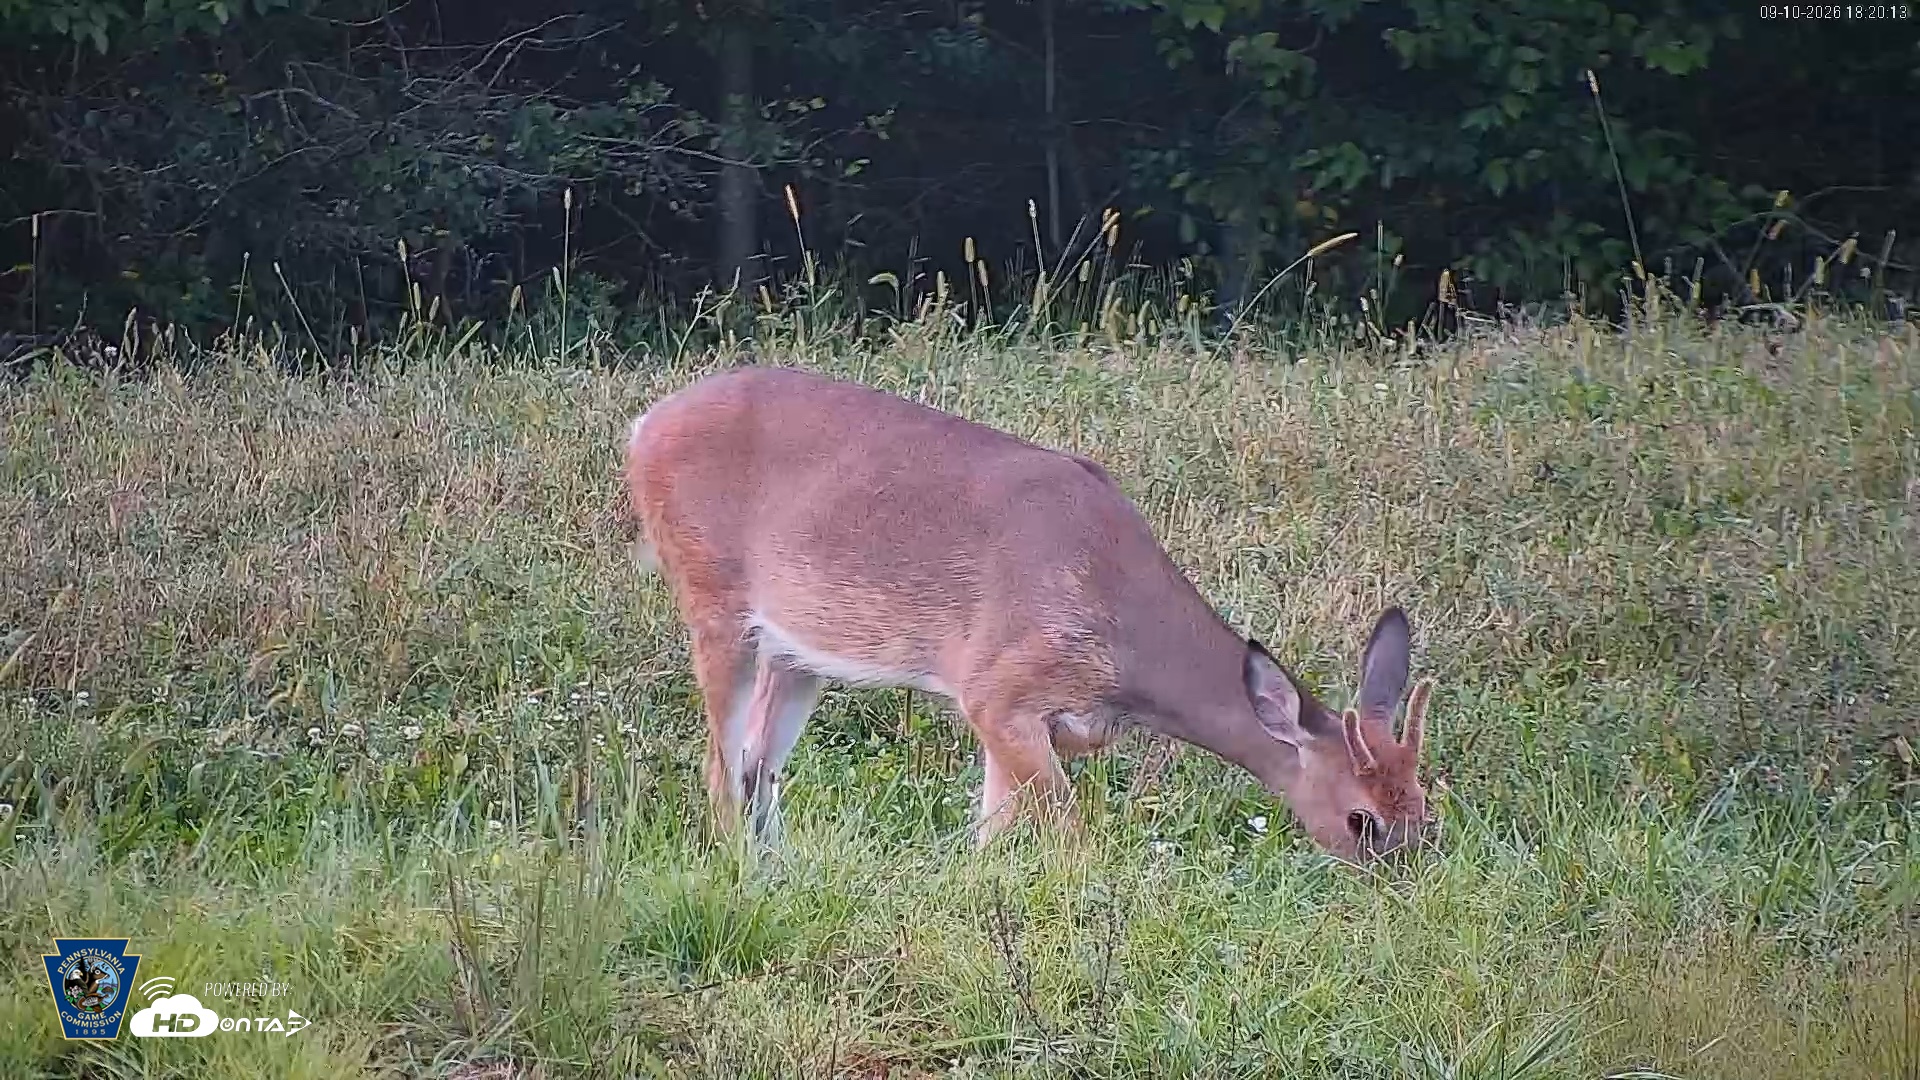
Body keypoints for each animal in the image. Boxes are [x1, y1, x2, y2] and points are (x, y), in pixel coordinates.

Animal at [622, 365, 1436, 863]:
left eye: (1427, 807)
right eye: (1362, 817)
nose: (1404, 879)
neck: (1125, 649)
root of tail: (642, 426)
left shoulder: (1025, 720)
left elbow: (989, 831)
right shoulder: (996, 686)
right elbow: (1068, 833)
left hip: (795, 650)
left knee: (757, 763)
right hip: (712, 594)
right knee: (720, 763)